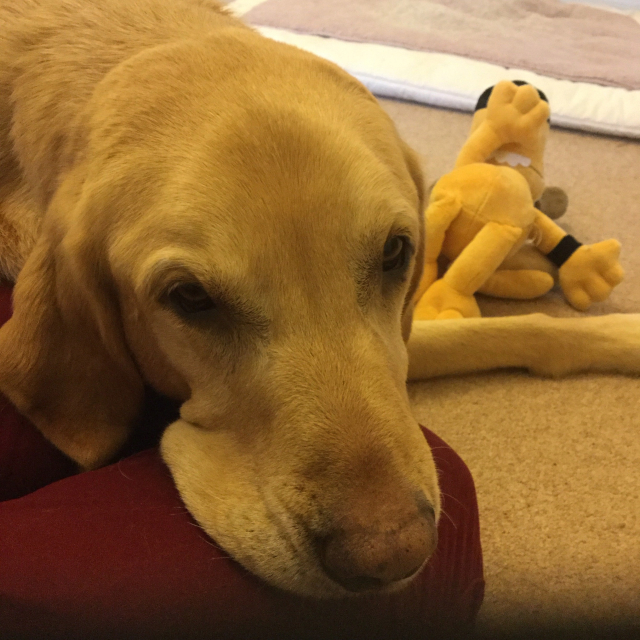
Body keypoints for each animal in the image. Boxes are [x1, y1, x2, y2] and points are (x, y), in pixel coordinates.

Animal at [0, 0, 636, 600]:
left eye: (395, 251)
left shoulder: (398, 340)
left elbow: (509, 330)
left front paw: (620, 334)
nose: (392, 553)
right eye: (189, 296)